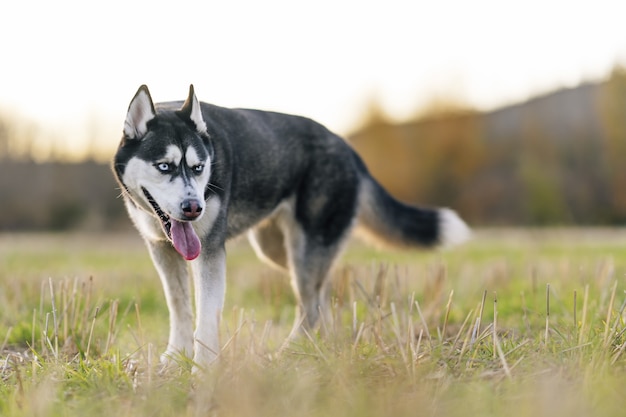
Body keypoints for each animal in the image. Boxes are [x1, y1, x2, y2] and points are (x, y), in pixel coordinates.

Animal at [111, 83, 468, 368]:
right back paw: (322, 345)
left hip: (305, 250)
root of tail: (349, 149)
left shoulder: (210, 250)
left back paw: (289, 353)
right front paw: (174, 360)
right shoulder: (162, 249)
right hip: (278, 251)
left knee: (310, 306)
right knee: (321, 297)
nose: (194, 208)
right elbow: (179, 307)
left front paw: (204, 368)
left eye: (198, 168)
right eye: (164, 166)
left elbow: (207, 315)